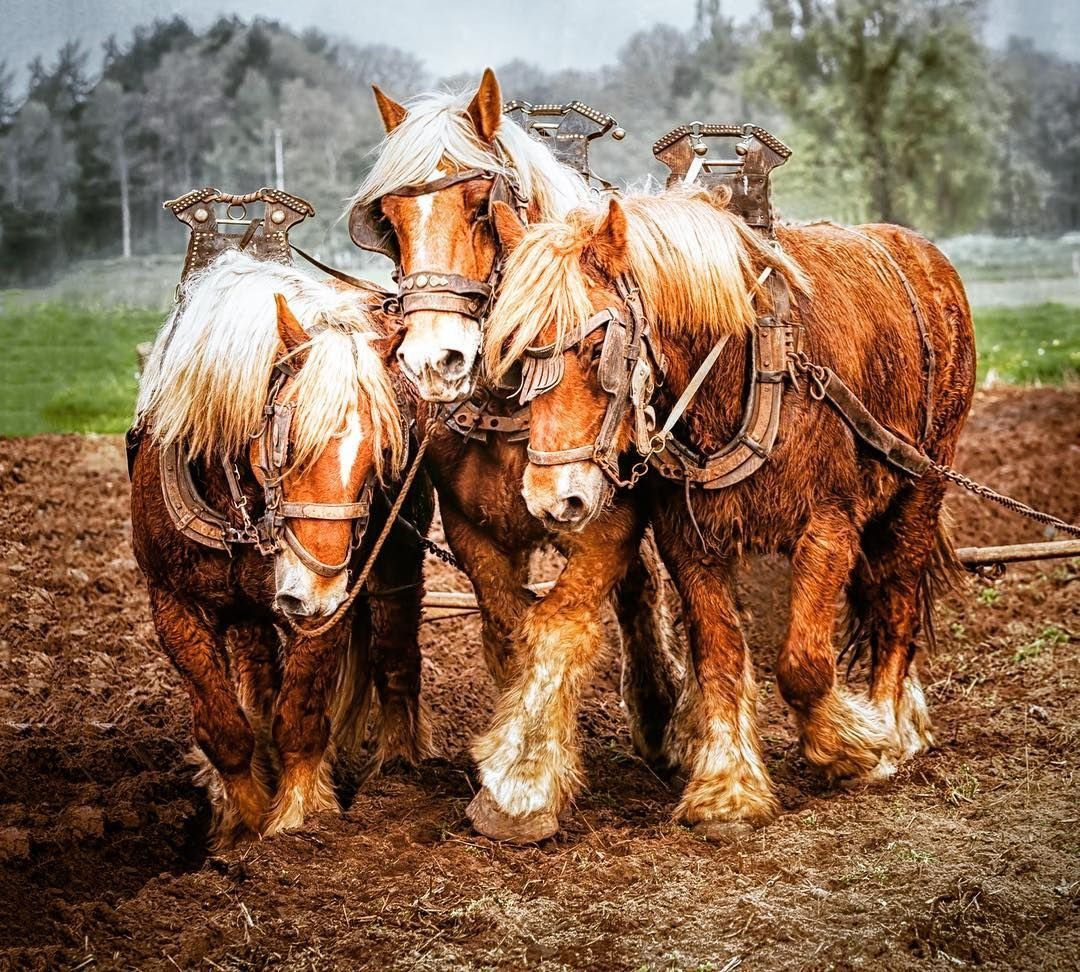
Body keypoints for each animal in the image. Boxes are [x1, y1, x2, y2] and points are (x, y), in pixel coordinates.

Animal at [131, 251, 434, 848]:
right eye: (287, 443)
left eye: (383, 452)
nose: (314, 589)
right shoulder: (172, 604)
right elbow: (225, 727)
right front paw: (242, 822)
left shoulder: (328, 607)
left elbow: (299, 716)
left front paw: (295, 818)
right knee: (258, 670)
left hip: (394, 562)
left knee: (394, 654)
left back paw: (398, 764)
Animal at [348, 69, 682, 843]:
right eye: (390, 220)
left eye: (481, 204)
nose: (434, 360)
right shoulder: (475, 528)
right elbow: (510, 632)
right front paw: (504, 757)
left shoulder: (604, 522)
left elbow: (559, 627)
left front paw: (521, 790)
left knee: (642, 591)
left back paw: (660, 714)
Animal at [483, 186, 976, 837]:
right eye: (516, 356)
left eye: (594, 349)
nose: (551, 498)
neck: (747, 368)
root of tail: (924, 254)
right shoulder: (689, 542)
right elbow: (718, 656)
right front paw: (727, 788)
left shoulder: (828, 527)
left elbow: (802, 663)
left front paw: (855, 749)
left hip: (922, 486)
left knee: (896, 602)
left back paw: (894, 727)